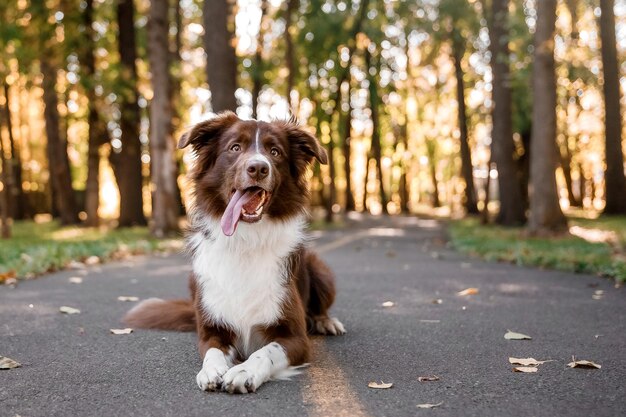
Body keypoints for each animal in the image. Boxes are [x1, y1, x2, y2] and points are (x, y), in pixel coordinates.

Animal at [123, 110, 344, 394]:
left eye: (275, 152)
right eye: (235, 148)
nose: (258, 168)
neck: (245, 240)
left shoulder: (295, 337)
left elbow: (265, 352)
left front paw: (243, 371)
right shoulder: (211, 330)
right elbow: (213, 352)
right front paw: (213, 370)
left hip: (318, 267)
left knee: (320, 306)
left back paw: (326, 321)